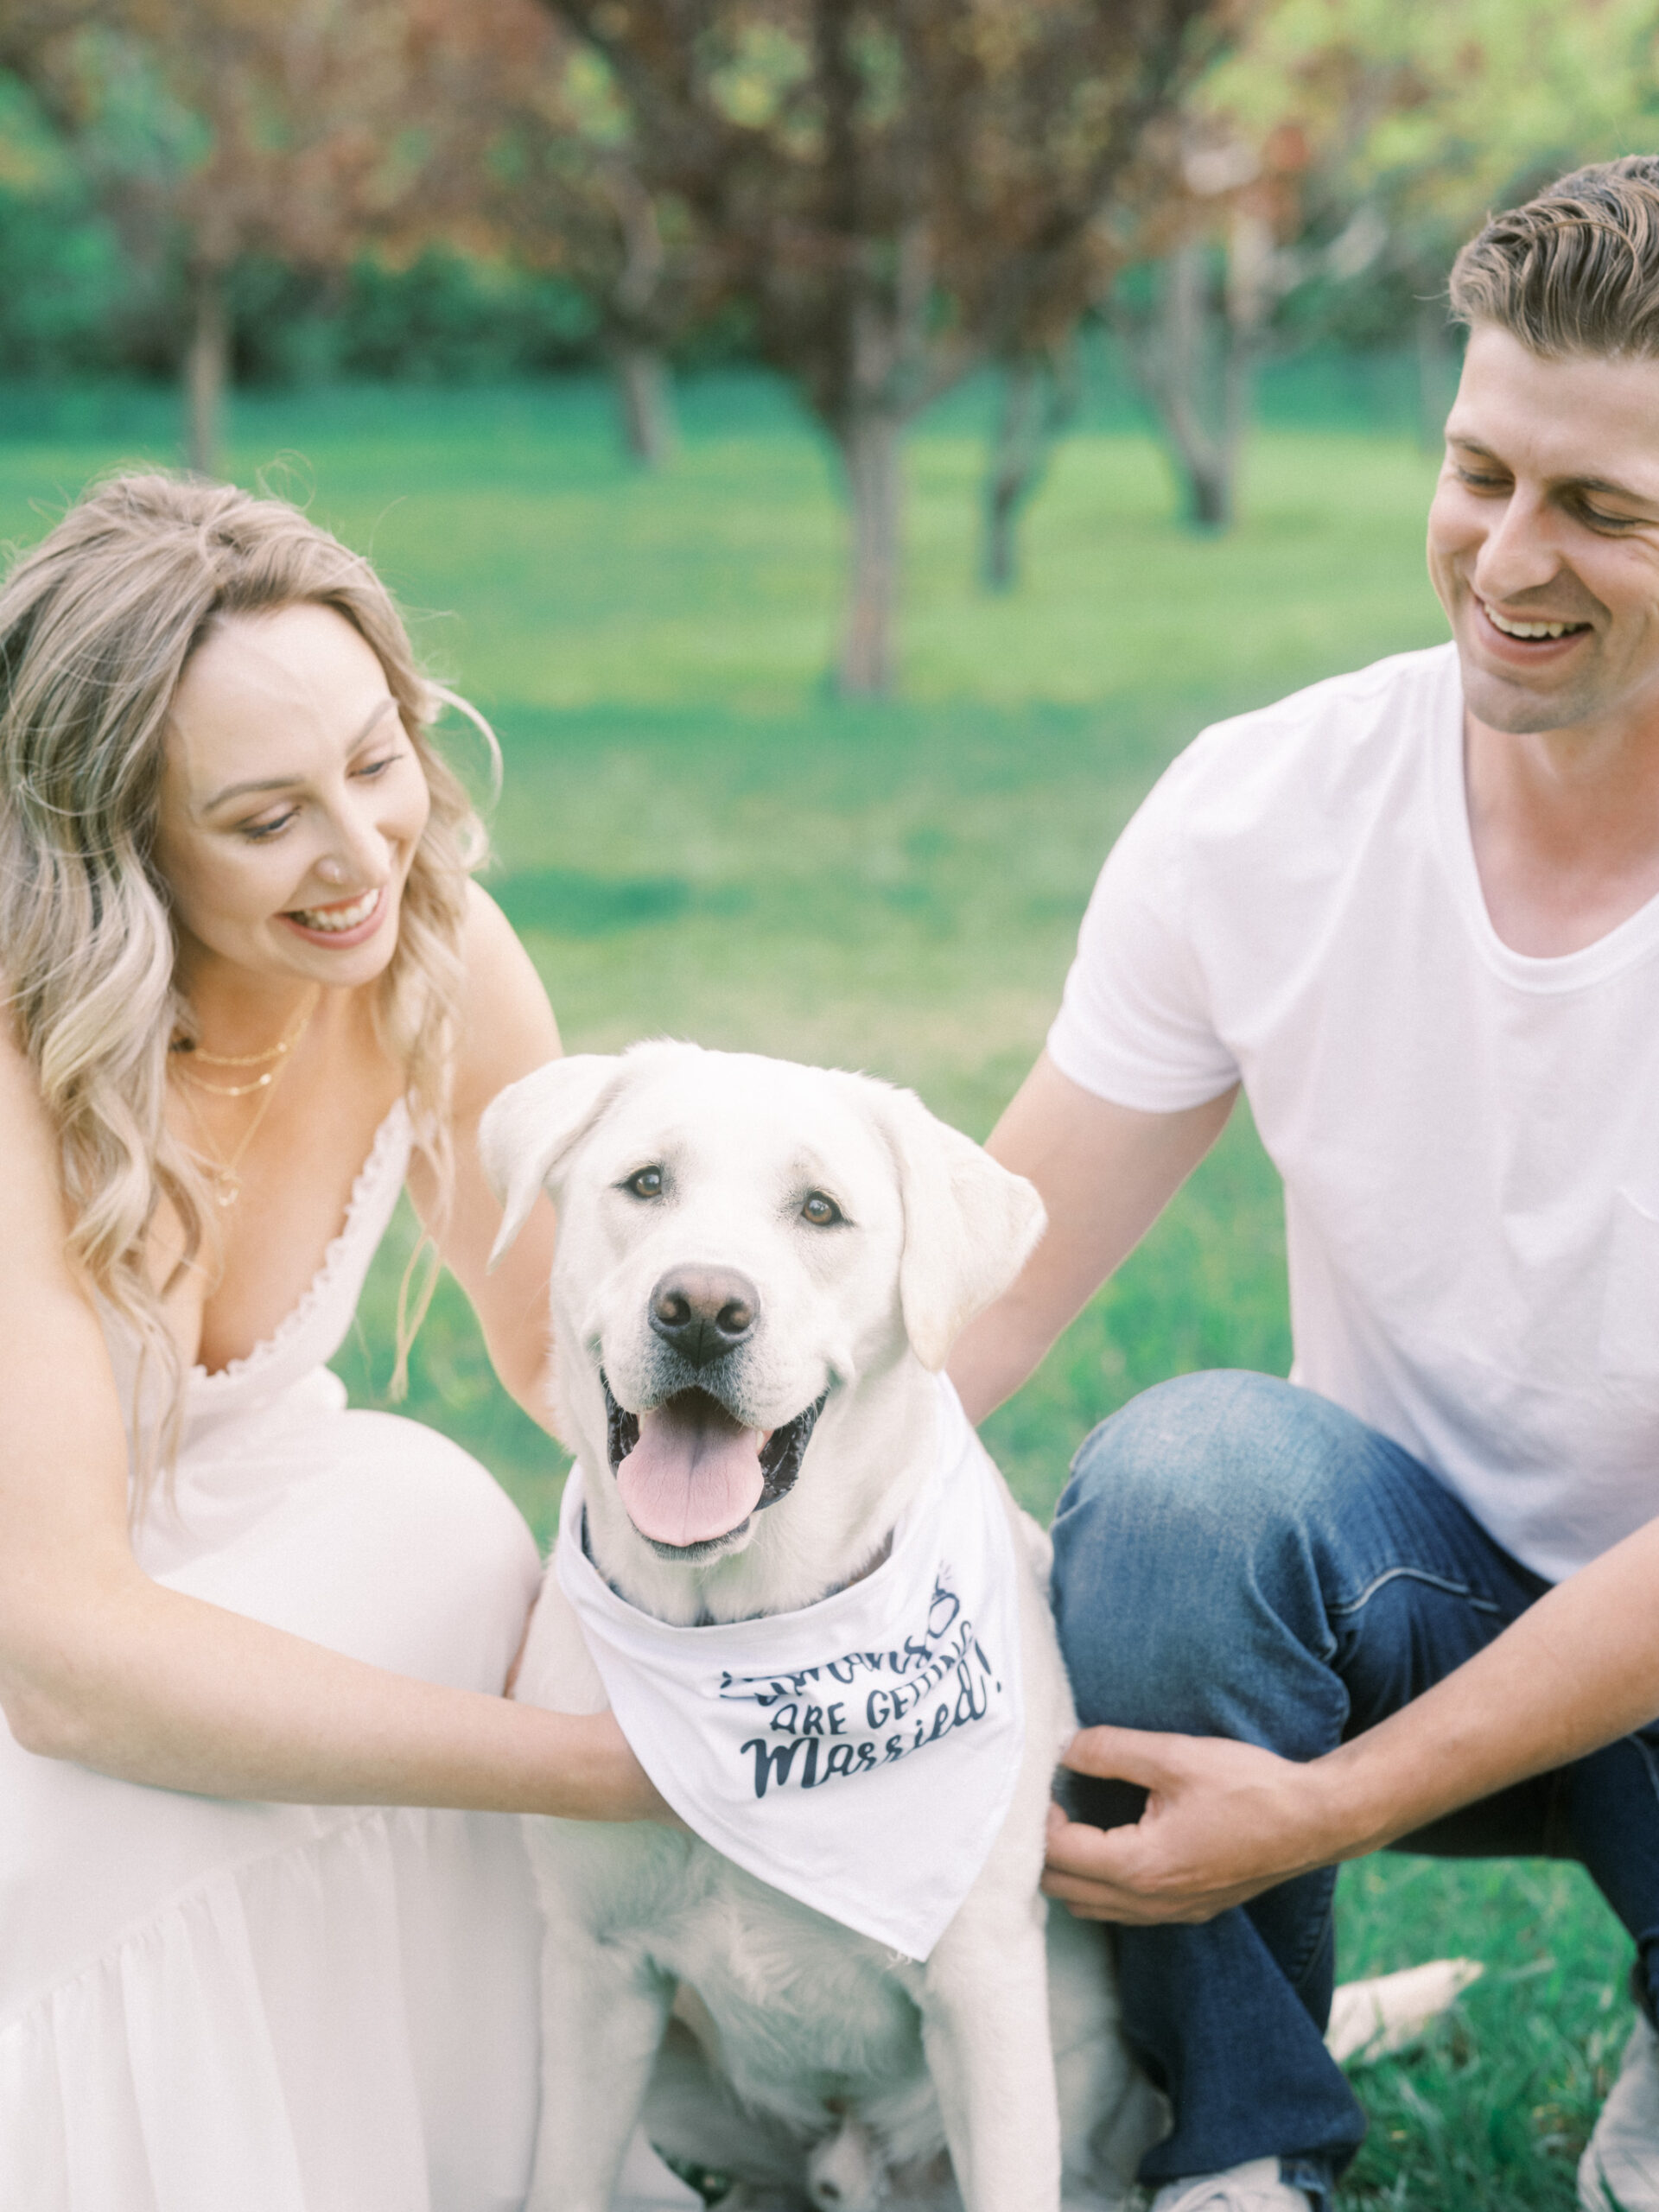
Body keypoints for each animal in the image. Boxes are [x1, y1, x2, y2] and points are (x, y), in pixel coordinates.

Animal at [477, 1048, 1159, 2212]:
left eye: (820, 1211)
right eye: (646, 1183)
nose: (701, 1306)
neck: (746, 1630)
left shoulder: (983, 1983)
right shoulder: (595, 1974)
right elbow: (563, 2176)